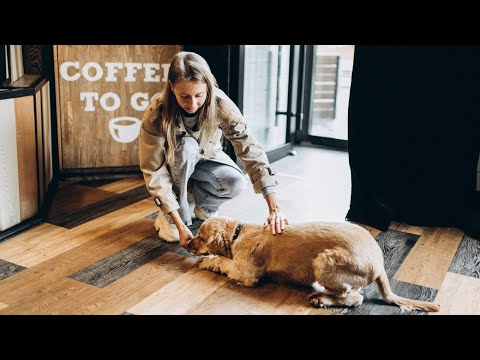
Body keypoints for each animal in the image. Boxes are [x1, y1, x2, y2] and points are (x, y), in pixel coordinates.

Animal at [186, 217, 440, 312]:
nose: (187, 243)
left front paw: (207, 261)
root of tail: (379, 263)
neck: (237, 232)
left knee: (353, 298)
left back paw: (321, 299)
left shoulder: (248, 273)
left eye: (200, 236)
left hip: (325, 261)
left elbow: (224, 262)